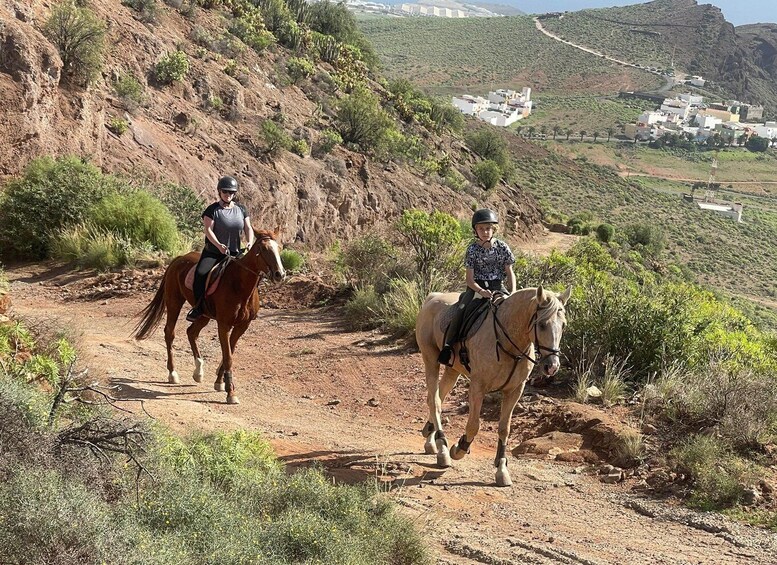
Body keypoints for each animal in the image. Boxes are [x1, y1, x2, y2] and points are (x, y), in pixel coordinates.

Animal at [133, 227, 284, 404]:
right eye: (263, 249)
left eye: (278, 248)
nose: (280, 274)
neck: (239, 285)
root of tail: (179, 258)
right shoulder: (224, 324)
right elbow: (228, 357)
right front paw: (231, 393)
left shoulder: (242, 326)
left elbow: (228, 353)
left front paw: (220, 382)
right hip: (174, 302)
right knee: (170, 333)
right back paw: (173, 373)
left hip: (203, 315)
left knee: (191, 332)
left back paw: (198, 372)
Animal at [416, 286, 568, 484]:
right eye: (542, 324)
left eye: (563, 325)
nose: (552, 366)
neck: (507, 341)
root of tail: (433, 298)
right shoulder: (477, 387)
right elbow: (473, 425)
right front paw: (459, 448)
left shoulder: (514, 391)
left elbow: (504, 429)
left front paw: (502, 470)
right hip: (430, 360)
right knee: (435, 402)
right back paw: (443, 451)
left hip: (452, 370)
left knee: (438, 398)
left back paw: (430, 439)